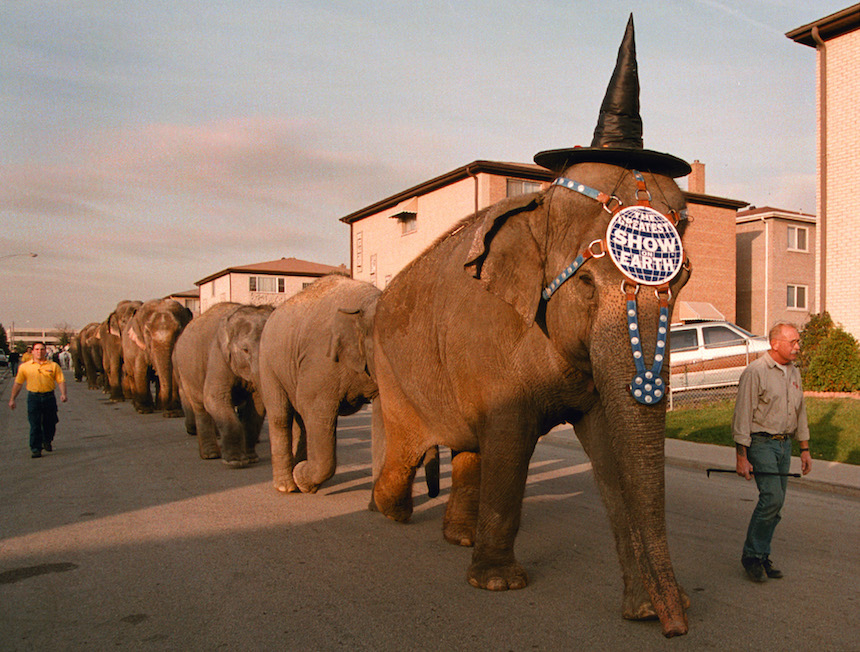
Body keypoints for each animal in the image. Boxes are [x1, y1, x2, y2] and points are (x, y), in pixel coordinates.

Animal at [177, 304, 278, 466]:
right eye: (245, 350)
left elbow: (257, 405)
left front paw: (251, 458)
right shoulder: (218, 355)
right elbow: (214, 397)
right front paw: (236, 461)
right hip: (186, 372)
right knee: (200, 407)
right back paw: (210, 454)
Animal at [256, 276, 382, 494]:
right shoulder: (321, 361)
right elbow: (315, 409)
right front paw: (301, 478)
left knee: (300, 420)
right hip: (268, 364)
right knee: (281, 416)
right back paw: (287, 486)